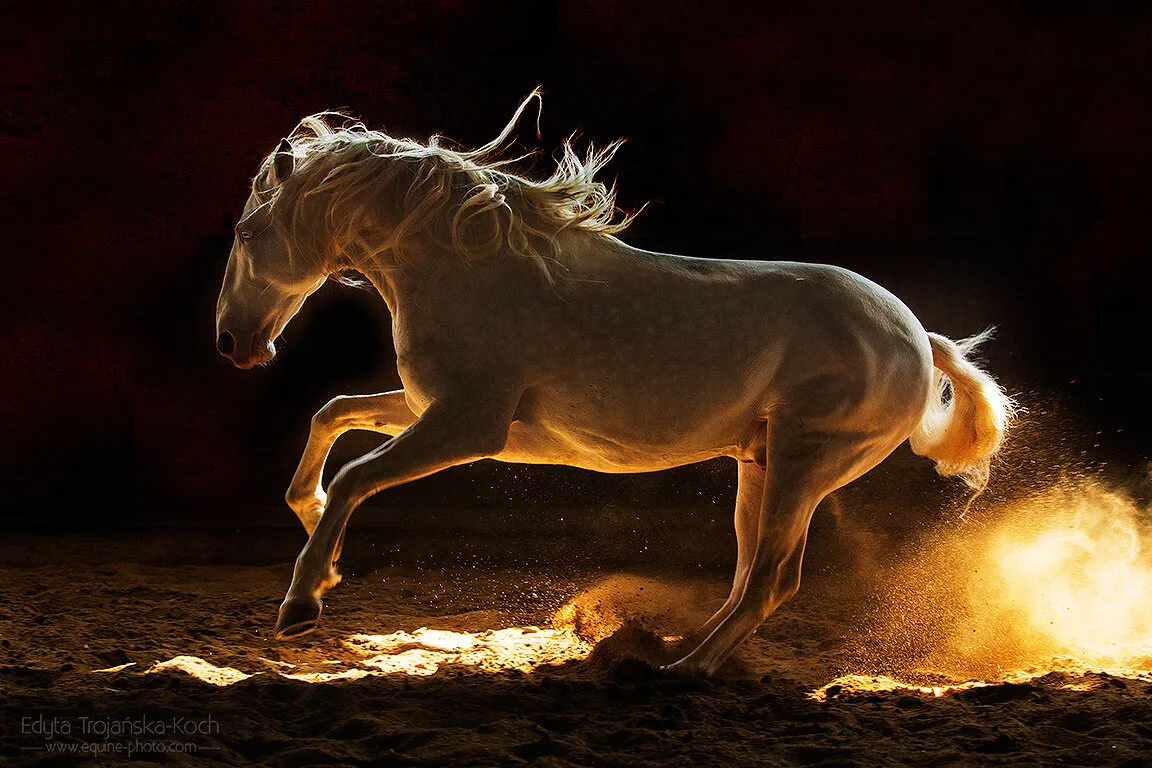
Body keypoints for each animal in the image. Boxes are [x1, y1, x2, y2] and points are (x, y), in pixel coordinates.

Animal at [215, 91, 1011, 676]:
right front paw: (316, 529)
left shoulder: (469, 425)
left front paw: (302, 602)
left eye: (248, 235)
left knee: (770, 580)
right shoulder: (430, 410)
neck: (470, 266)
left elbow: (356, 473)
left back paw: (684, 672)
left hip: (804, 463)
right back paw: (665, 650)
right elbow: (333, 413)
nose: (233, 343)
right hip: (763, 465)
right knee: (748, 575)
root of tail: (918, 338)